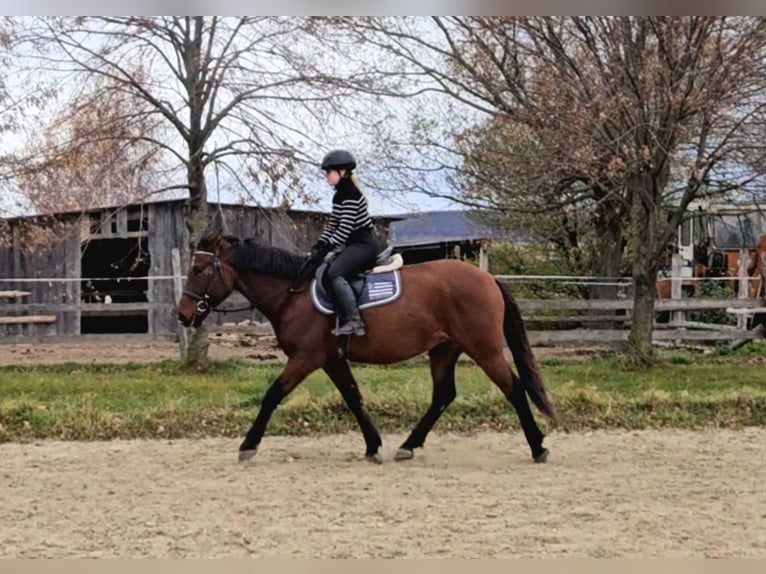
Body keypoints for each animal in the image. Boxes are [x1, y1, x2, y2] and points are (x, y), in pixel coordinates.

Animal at [178, 228, 560, 464]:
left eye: (198, 269)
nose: (183, 314)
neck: (293, 293)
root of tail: (488, 278)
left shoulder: (306, 358)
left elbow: (273, 395)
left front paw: (248, 446)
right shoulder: (331, 359)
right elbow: (353, 397)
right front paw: (373, 445)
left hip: (485, 350)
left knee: (514, 389)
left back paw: (538, 446)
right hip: (444, 349)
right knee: (443, 395)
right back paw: (408, 446)